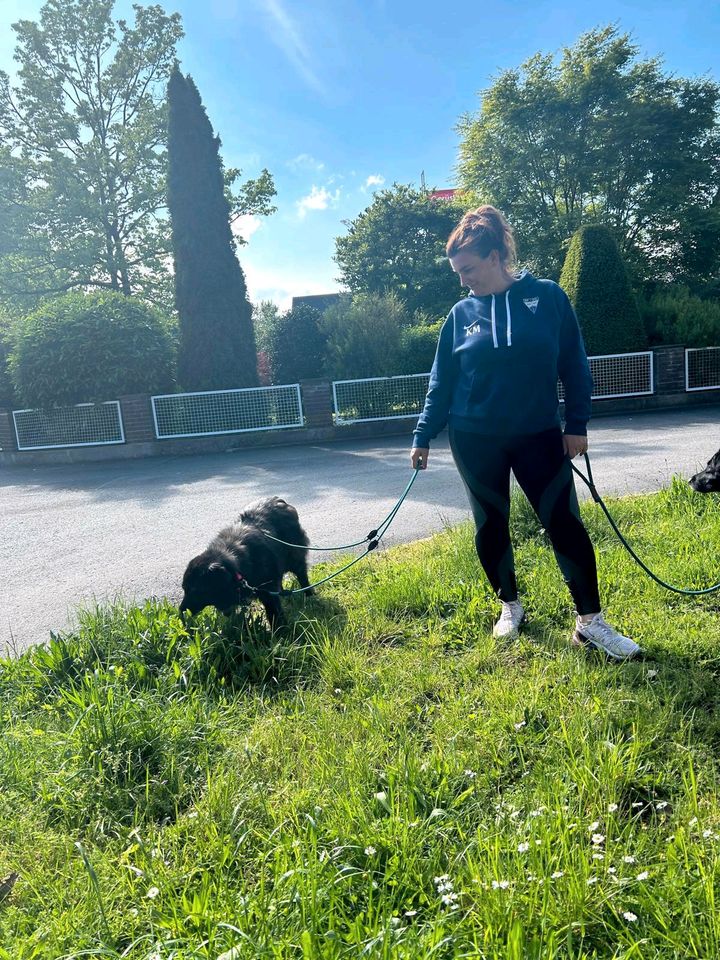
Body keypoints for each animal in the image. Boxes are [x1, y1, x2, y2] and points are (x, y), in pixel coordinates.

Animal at [179, 498, 312, 628]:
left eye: (195, 590)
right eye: (184, 588)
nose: (181, 611)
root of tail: (279, 500)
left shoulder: (267, 592)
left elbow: (274, 613)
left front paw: (281, 631)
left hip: (295, 557)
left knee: (302, 575)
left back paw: (309, 596)